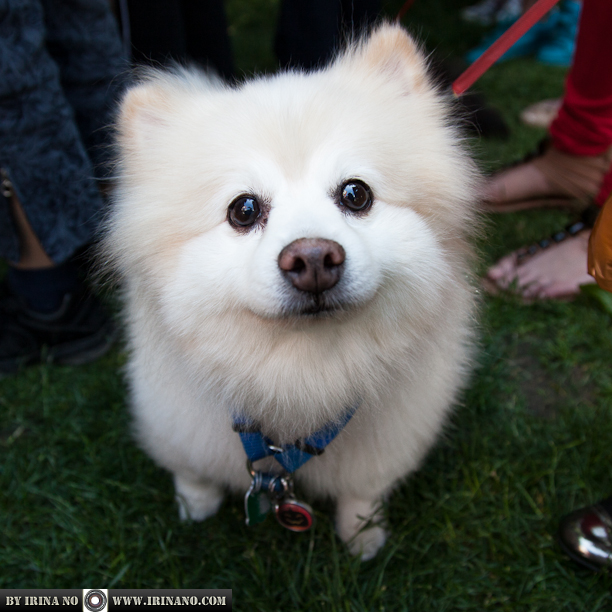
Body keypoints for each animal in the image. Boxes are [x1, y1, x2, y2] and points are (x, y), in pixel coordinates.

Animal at [104, 22, 478, 560]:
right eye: (243, 209)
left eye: (355, 194)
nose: (314, 258)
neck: (303, 378)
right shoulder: (175, 418)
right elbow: (191, 471)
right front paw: (194, 507)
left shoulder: (387, 441)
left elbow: (362, 492)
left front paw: (363, 536)